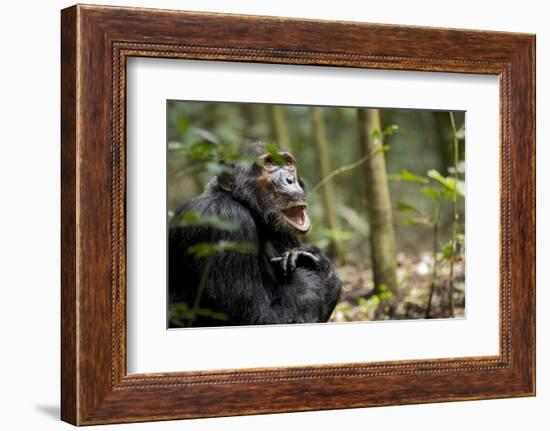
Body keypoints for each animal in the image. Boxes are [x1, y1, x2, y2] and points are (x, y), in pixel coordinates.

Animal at [169, 150, 340, 326]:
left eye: (288, 164)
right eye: (269, 164)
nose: (290, 179)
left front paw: (318, 260)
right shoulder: (226, 220)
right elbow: (259, 317)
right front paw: (310, 269)